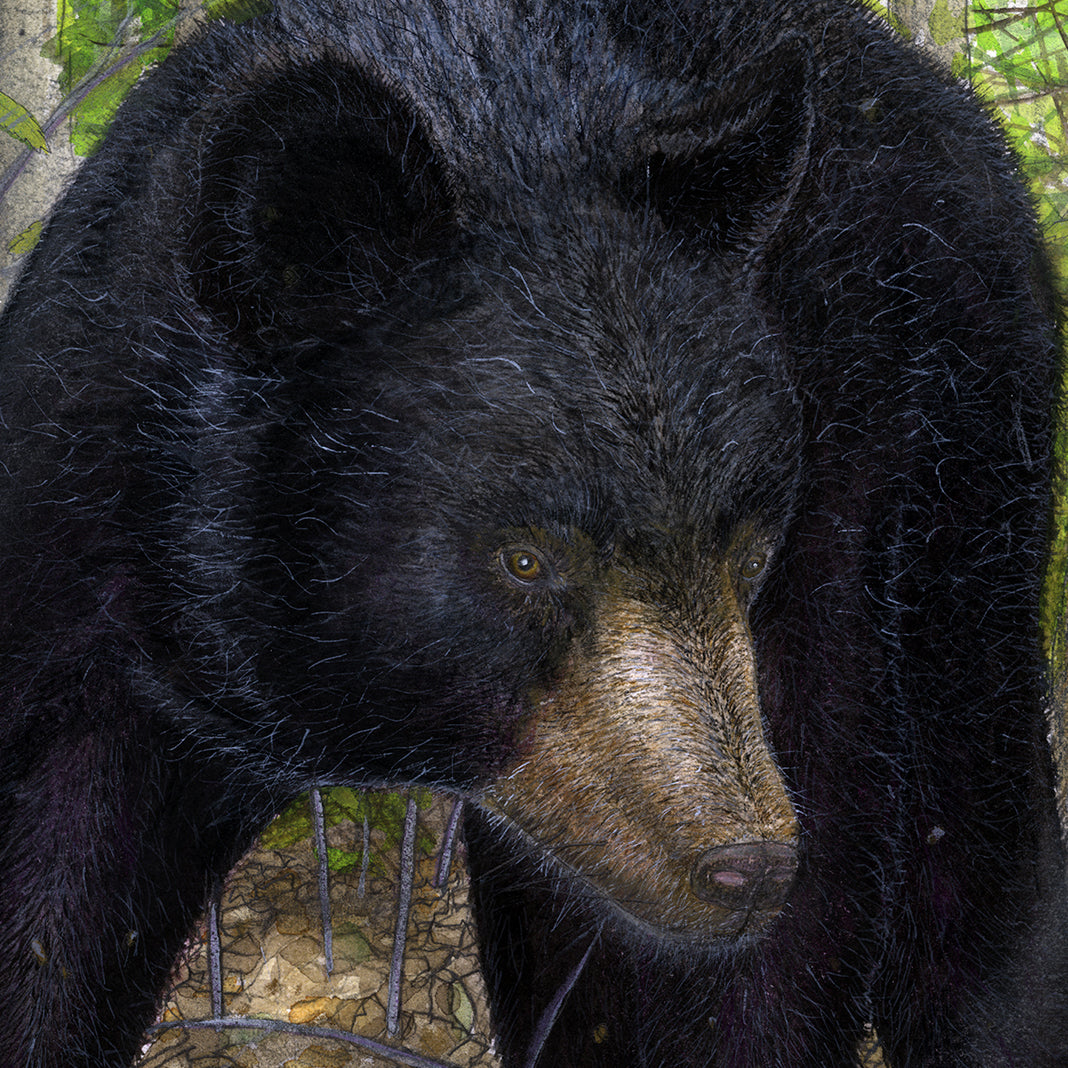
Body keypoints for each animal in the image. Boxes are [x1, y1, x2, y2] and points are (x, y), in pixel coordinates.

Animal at [2, 0, 1068, 1063]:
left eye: (745, 546)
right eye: (525, 560)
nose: (745, 865)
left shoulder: (831, 525)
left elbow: (780, 925)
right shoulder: (98, 582)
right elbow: (50, 876)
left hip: (963, 477)